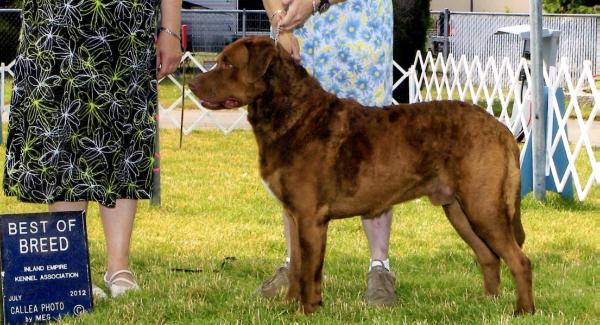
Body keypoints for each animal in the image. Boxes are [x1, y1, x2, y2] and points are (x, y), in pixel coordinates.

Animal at [189, 36, 536, 314]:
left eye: (226, 62)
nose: (192, 84)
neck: (292, 115)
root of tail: (502, 129)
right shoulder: (293, 213)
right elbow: (297, 265)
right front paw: (288, 307)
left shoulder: (310, 216)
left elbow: (310, 270)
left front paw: (306, 311)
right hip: (458, 209)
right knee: (489, 256)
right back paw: (487, 303)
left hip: (483, 205)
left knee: (518, 259)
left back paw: (523, 311)